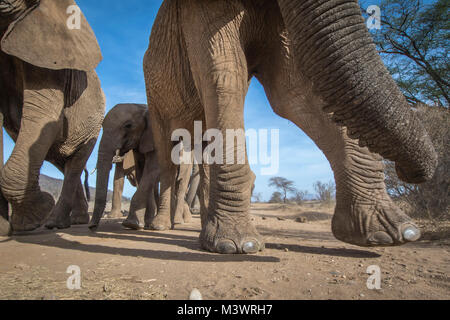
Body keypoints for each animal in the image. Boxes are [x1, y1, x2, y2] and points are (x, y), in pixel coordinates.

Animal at [0, 0, 104, 235]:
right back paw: (72, 222)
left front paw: (33, 218)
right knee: (62, 163)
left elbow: (44, 117)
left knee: (75, 164)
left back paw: (54, 222)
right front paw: (5, 229)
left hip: (92, 129)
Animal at [143, 0, 436, 255]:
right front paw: (237, 246)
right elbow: (226, 76)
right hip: (154, 98)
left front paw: (392, 234)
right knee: (168, 156)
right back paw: (161, 227)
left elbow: (292, 92)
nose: (407, 172)